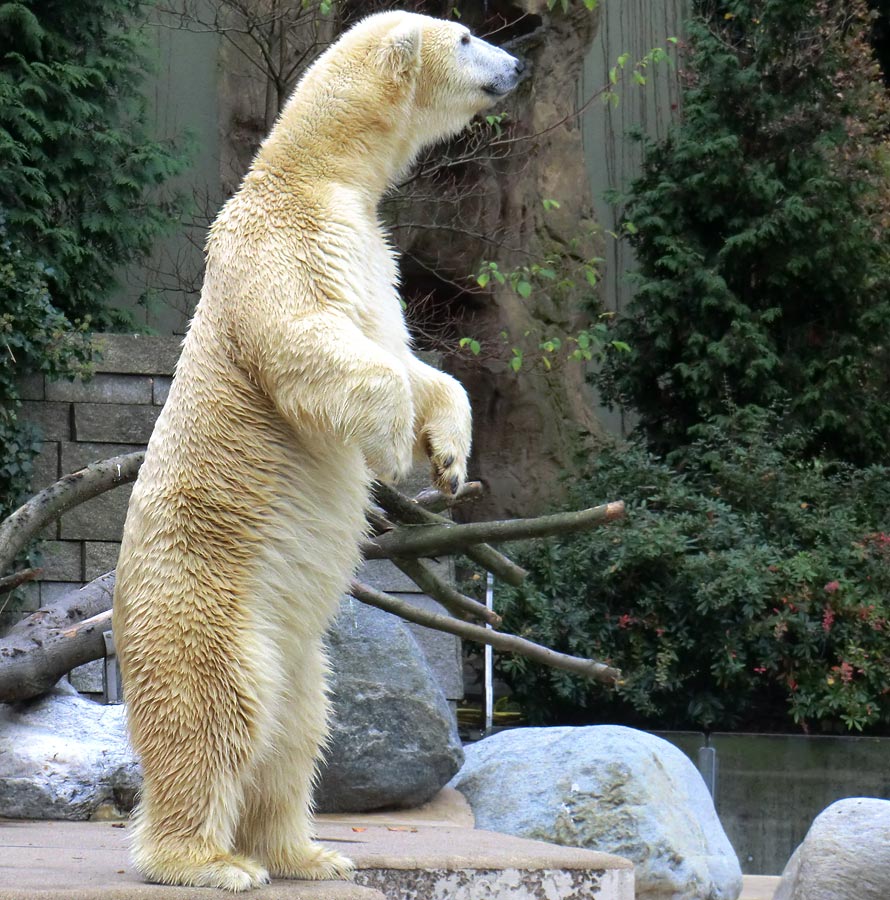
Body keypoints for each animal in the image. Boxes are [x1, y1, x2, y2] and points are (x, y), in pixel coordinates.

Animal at [114, 7, 524, 892]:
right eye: (465, 36)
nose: (516, 63)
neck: (315, 173)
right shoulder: (279, 245)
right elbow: (311, 343)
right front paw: (394, 446)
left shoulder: (373, 251)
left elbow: (412, 357)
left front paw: (450, 456)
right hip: (210, 605)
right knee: (216, 713)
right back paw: (209, 862)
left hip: (300, 652)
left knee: (298, 731)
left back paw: (307, 851)